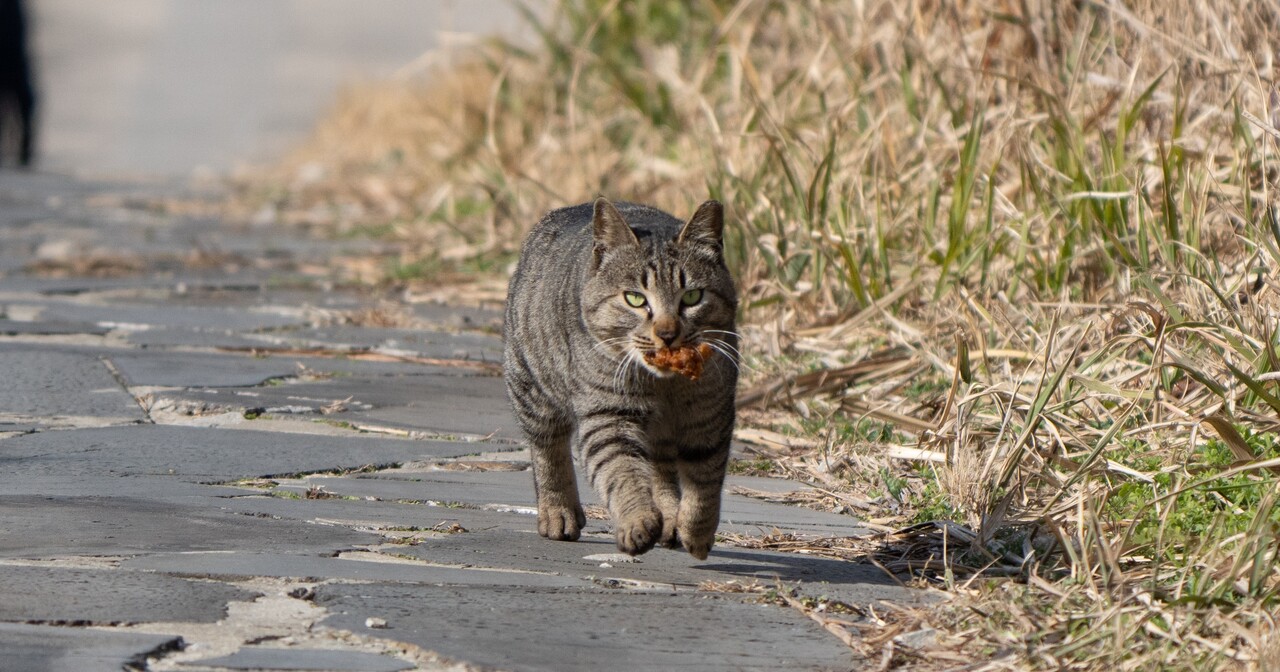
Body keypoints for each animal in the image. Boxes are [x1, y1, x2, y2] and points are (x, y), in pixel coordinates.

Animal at [503, 197, 739, 559]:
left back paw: (669, 517)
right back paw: (558, 512)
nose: (667, 334)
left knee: (660, 469)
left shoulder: (710, 415)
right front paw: (638, 522)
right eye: (635, 298)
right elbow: (622, 471)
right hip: (532, 387)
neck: (664, 385)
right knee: (548, 449)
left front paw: (696, 533)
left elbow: (705, 483)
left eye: (691, 297)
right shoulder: (608, 415)